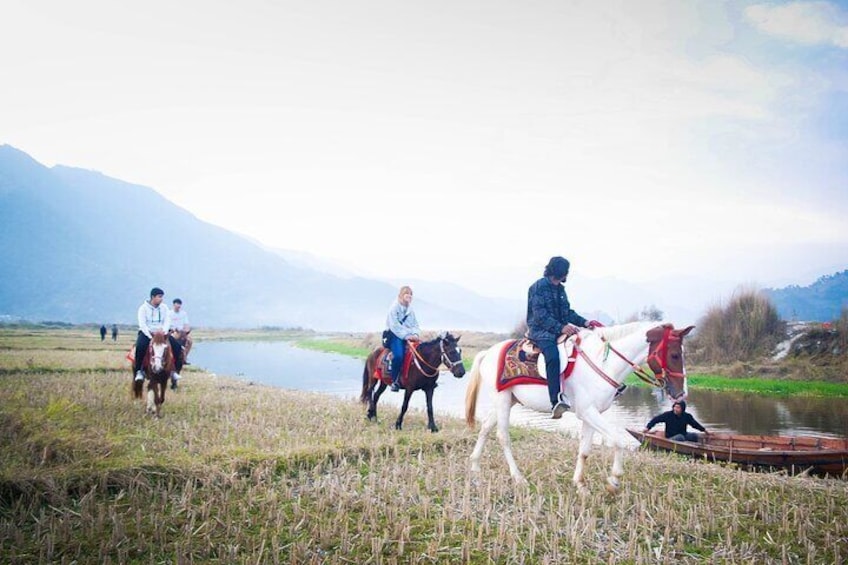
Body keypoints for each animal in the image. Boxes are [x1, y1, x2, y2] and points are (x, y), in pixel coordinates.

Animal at [464, 322, 696, 494]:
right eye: (675, 355)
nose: (682, 393)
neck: (603, 363)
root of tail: (488, 353)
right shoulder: (587, 412)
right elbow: (618, 440)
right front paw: (613, 481)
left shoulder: (592, 415)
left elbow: (584, 450)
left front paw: (580, 484)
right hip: (502, 400)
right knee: (502, 436)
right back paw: (518, 478)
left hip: (507, 400)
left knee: (485, 428)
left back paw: (475, 467)